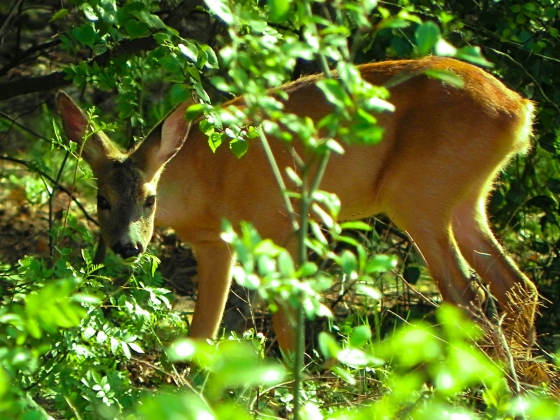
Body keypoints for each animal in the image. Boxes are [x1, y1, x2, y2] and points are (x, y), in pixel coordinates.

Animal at [57, 55, 540, 352]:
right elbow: (202, 331)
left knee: (467, 297)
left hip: (418, 195)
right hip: (466, 198)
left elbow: (287, 325)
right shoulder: (215, 245)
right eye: (102, 199)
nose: (128, 246)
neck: (207, 179)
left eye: (149, 199)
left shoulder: (283, 223)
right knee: (517, 287)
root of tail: (519, 109)